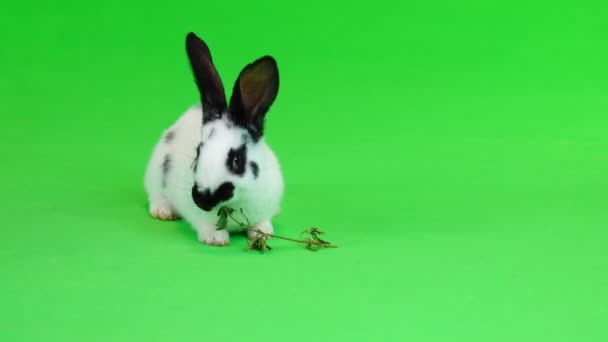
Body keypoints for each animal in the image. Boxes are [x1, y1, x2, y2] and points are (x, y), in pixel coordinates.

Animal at [144, 32, 284, 246]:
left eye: (237, 160)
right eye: (198, 153)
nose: (203, 200)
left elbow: (261, 222)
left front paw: (262, 233)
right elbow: (206, 225)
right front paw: (216, 239)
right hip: (156, 174)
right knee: (156, 195)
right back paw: (164, 212)